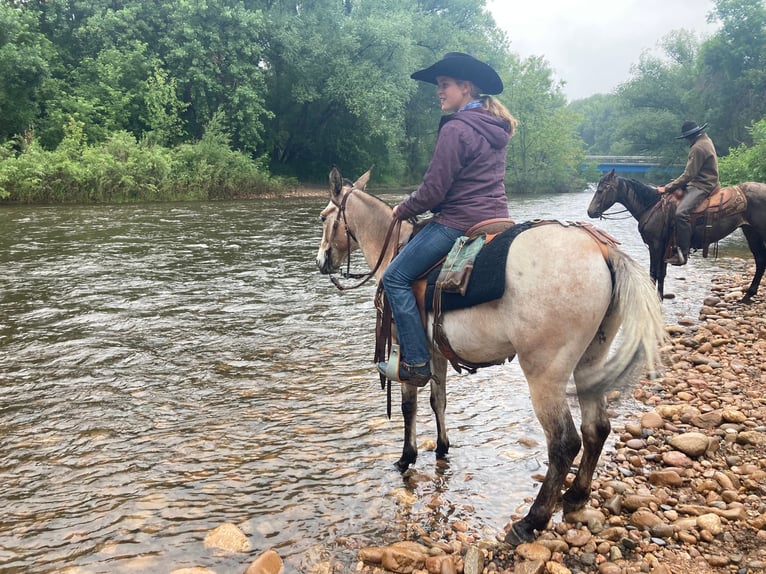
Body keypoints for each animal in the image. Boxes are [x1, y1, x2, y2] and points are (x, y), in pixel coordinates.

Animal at [314, 169, 664, 548]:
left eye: (323, 218)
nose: (321, 261)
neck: (393, 248)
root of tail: (601, 251)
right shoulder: (434, 351)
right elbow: (438, 400)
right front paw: (442, 447)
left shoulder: (405, 349)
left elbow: (409, 406)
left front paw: (406, 458)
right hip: (591, 360)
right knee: (596, 428)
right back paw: (576, 495)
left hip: (545, 372)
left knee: (564, 443)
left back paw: (531, 521)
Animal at [592, 170, 766, 304]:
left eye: (602, 189)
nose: (590, 211)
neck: (651, 206)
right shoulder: (661, 247)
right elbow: (660, 273)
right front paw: (659, 298)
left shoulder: (656, 245)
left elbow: (654, 272)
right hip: (751, 232)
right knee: (760, 260)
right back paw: (747, 296)